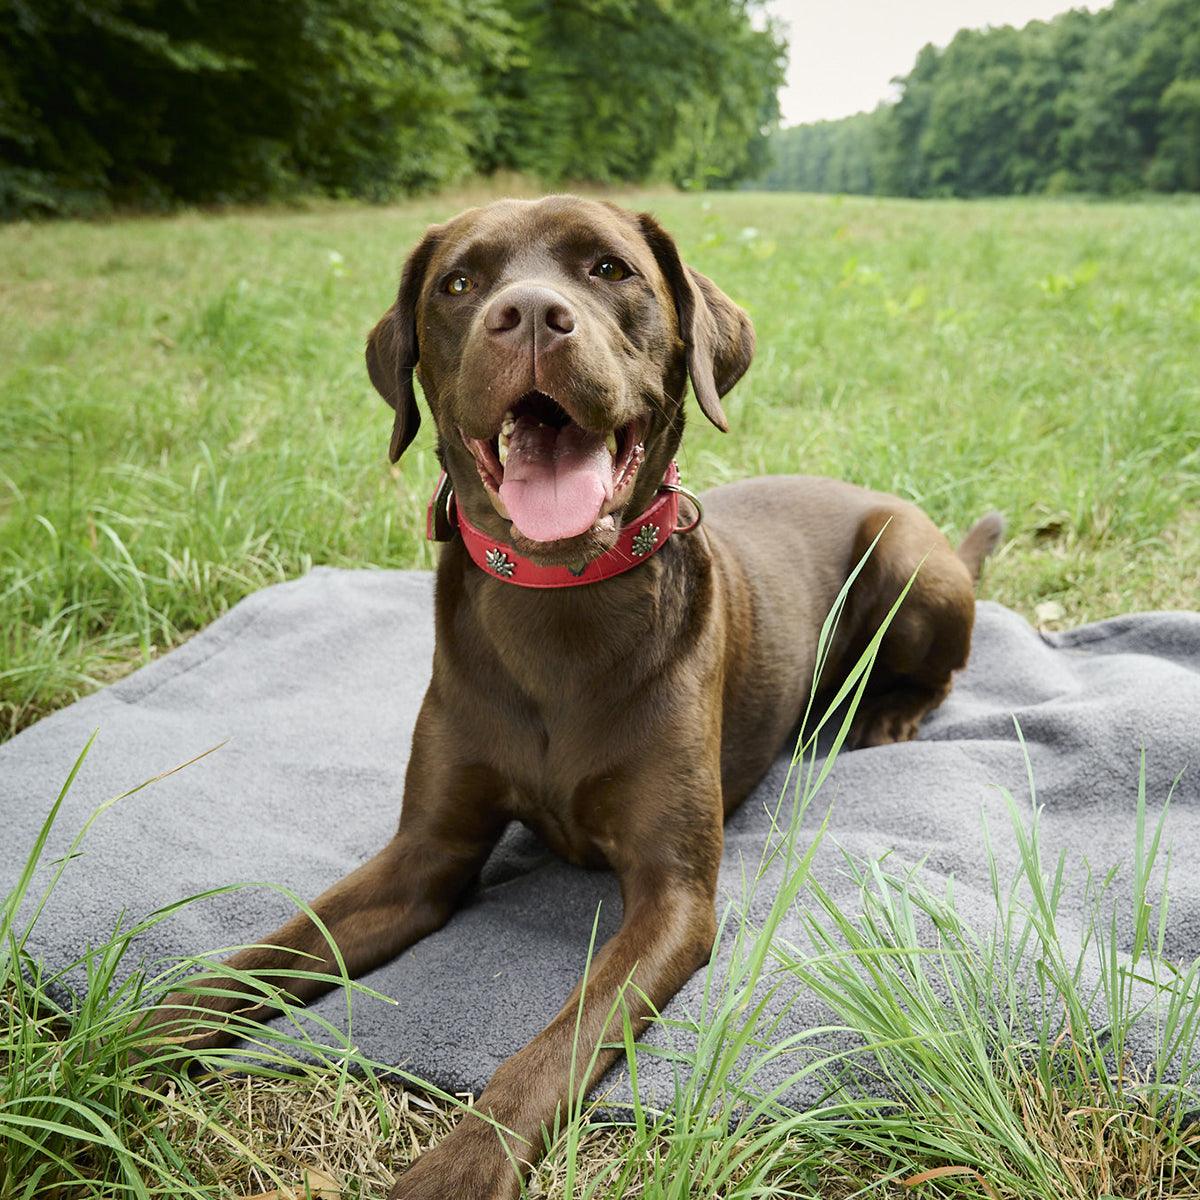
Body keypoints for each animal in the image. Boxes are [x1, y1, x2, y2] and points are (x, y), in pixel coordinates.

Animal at [147, 192, 1003, 1195]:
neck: (558, 603)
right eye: (459, 284)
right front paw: (117, 1046)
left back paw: (883, 713)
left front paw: (459, 1167)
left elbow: (559, 1042)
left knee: (943, 666)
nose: (525, 315)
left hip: (906, 560)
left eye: (609, 269)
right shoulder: (424, 854)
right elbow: (265, 954)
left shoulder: (673, 896)